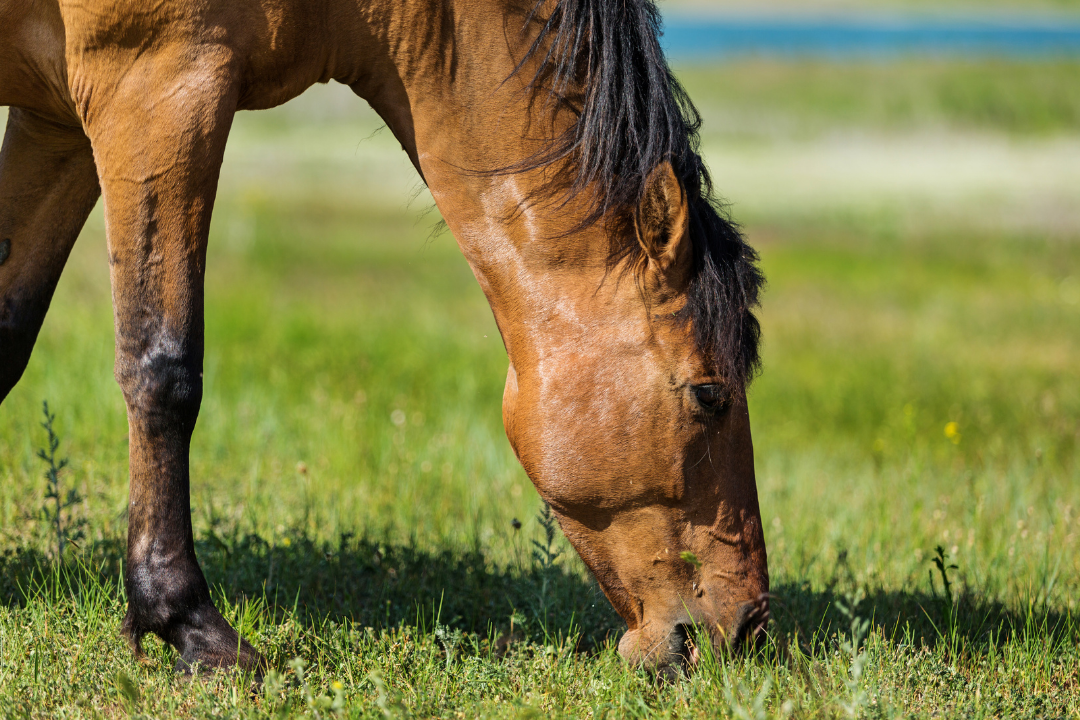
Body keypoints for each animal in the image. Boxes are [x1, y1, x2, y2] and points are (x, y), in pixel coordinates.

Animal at [2, 0, 777, 677]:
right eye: (709, 393)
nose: (746, 628)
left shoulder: (58, 115)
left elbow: (9, 335)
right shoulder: (156, 87)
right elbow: (163, 369)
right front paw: (190, 627)